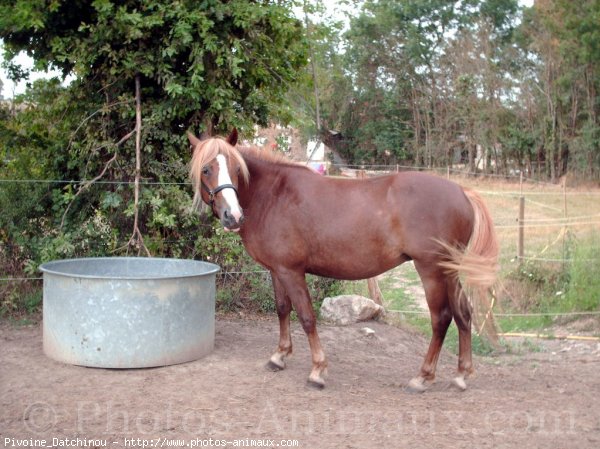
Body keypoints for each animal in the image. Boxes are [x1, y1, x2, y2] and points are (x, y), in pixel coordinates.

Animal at [188, 130, 496, 392]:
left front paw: (317, 370)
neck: (273, 195)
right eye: (206, 169)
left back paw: (422, 377)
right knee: (464, 314)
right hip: (450, 272)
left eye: (236, 168)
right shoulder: (277, 270)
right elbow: (282, 310)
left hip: (431, 270)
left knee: (441, 319)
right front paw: (279, 356)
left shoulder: (292, 271)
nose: (233, 216)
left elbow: (307, 317)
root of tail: (462, 192)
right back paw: (461, 374)